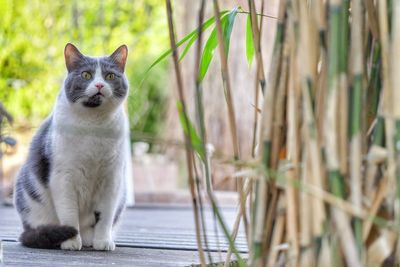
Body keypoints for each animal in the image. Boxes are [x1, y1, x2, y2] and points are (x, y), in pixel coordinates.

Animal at [12, 43, 130, 252]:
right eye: (86, 75)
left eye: (109, 76)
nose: (99, 85)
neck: (94, 125)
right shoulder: (63, 177)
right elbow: (68, 213)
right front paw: (71, 241)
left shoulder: (112, 178)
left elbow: (106, 216)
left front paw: (103, 241)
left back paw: (90, 239)